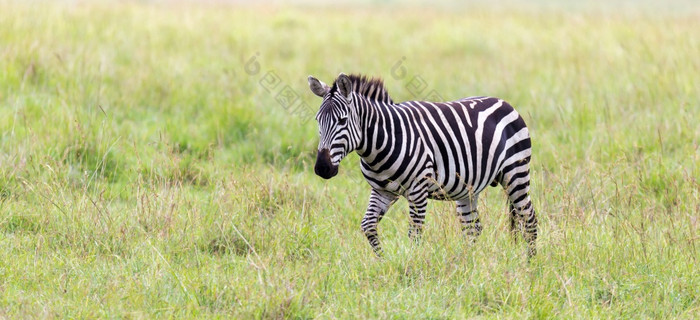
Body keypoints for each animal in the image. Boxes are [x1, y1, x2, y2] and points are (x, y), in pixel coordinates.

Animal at [308, 72, 540, 258]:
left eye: (342, 121)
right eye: (318, 120)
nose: (322, 168)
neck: (379, 145)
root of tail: (504, 102)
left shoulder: (418, 190)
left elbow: (415, 232)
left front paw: (413, 266)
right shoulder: (381, 191)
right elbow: (368, 226)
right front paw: (383, 261)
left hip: (516, 174)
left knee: (529, 219)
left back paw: (529, 264)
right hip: (468, 188)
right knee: (472, 228)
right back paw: (468, 264)